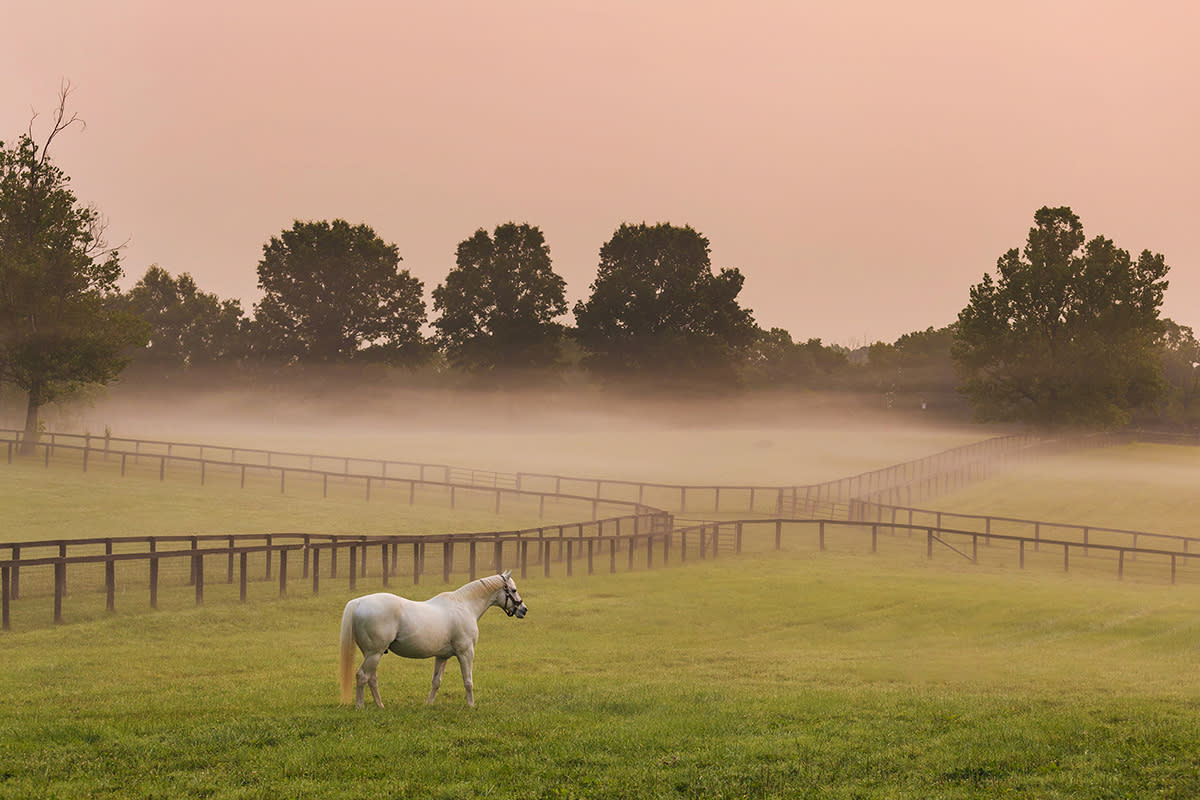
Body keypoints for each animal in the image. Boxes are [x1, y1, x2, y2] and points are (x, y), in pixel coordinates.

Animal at [338, 568, 525, 705]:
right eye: (513, 590)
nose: (523, 609)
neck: (464, 605)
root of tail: (358, 602)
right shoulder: (466, 653)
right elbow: (468, 681)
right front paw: (471, 705)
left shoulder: (442, 656)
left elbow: (436, 682)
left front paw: (428, 704)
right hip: (374, 653)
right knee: (362, 676)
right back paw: (360, 706)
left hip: (371, 654)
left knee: (372, 678)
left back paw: (380, 706)